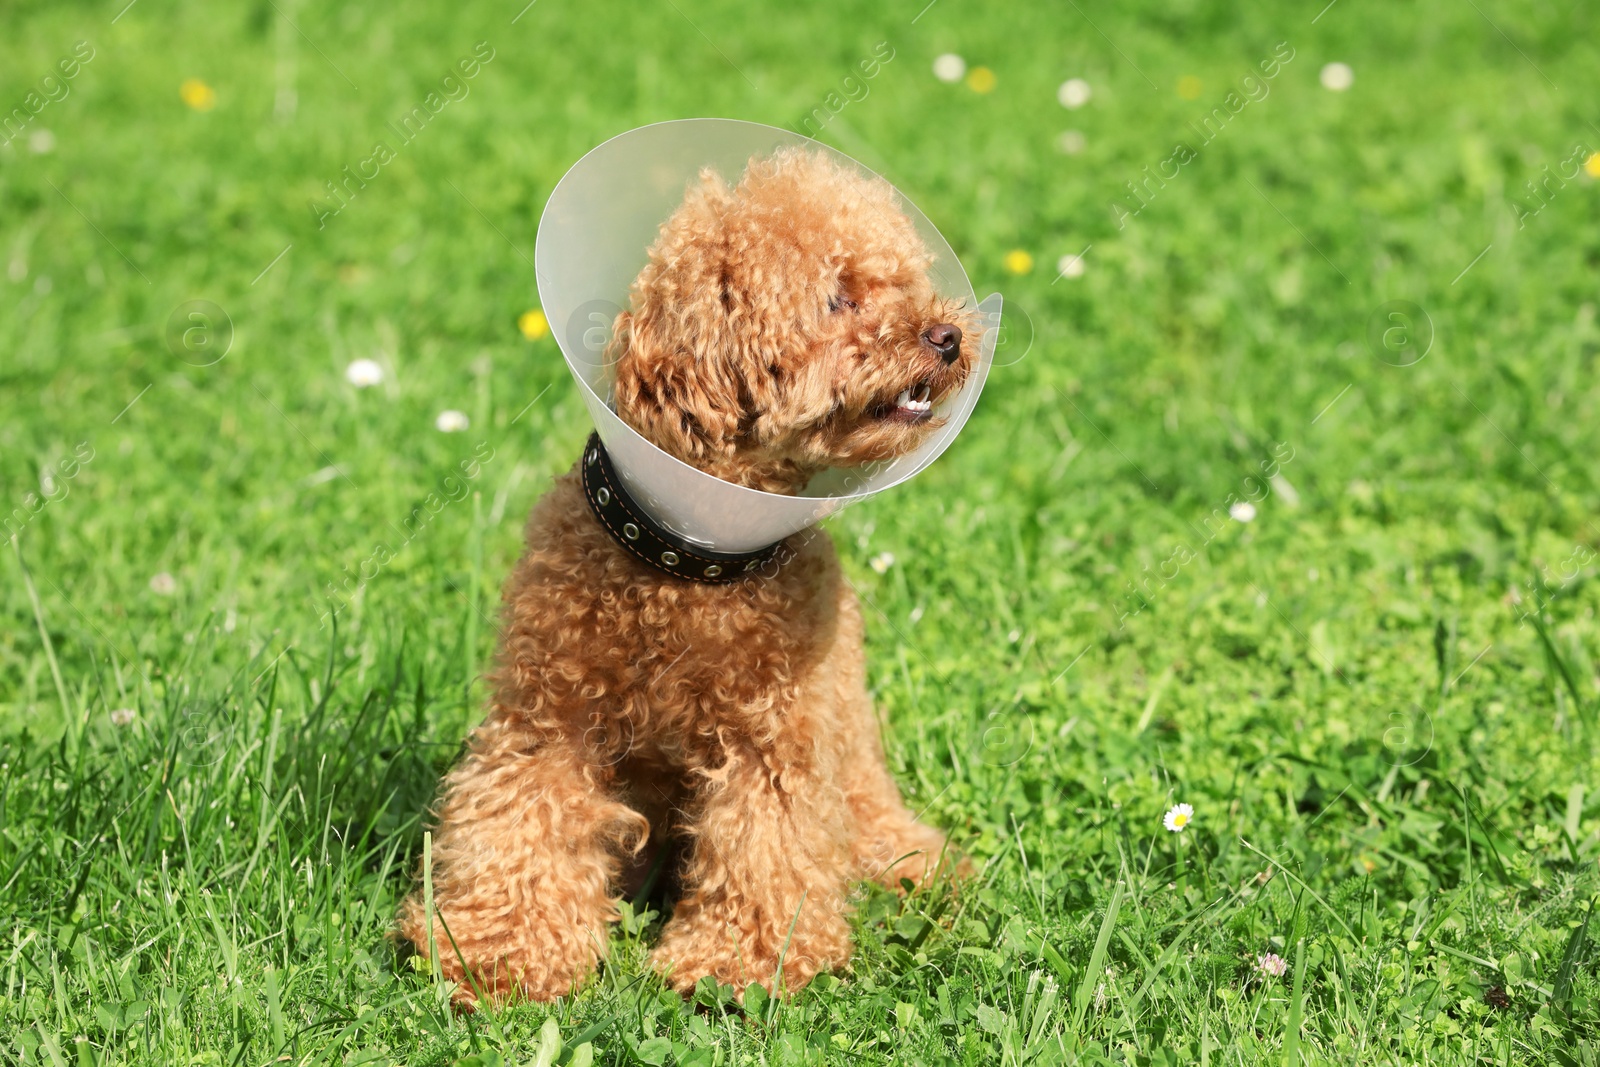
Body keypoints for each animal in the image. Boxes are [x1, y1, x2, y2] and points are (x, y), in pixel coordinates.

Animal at [396, 146, 972, 1004]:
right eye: (836, 297)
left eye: (905, 283)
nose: (949, 335)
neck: (692, 559)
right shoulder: (547, 720)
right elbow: (522, 821)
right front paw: (499, 954)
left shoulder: (776, 741)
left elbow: (766, 843)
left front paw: (741, 963)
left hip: (855, 764)